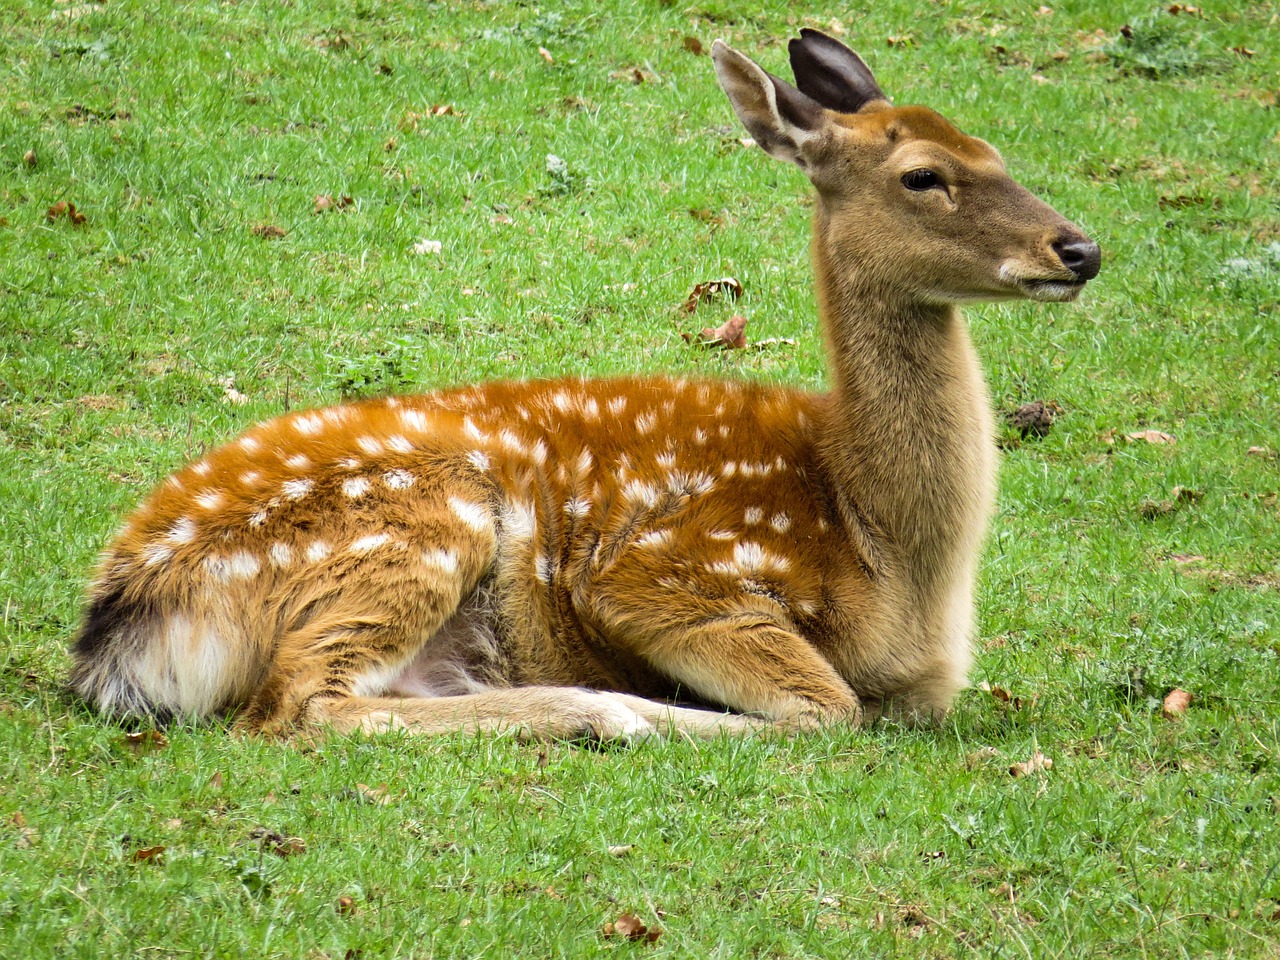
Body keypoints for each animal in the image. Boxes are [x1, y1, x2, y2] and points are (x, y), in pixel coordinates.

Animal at [67, 32, 1100, 742]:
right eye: (923, 175)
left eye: (995, 150)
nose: (1080, 248)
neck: (888, 544)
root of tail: (118, 629)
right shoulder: (665, 574)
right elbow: (826, 706)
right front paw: (662, 711)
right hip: (418, 519)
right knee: (301, 703)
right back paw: (594, 710)